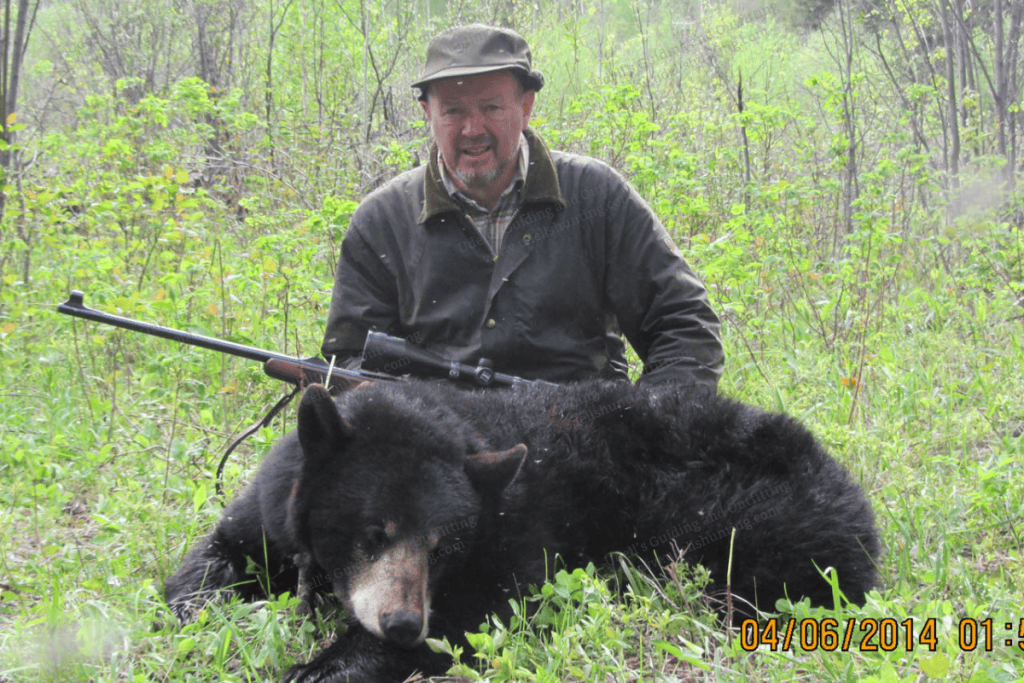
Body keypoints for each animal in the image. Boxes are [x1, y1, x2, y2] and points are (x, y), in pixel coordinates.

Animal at [165, 379, 880, 683]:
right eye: (372, 531)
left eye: (444, 547)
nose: (403, 623)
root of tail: (858, 504)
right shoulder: (271, 507)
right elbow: (210, 562)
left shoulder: (514, 540)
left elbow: (477, 616)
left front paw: (319, 668)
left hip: (737, 514)